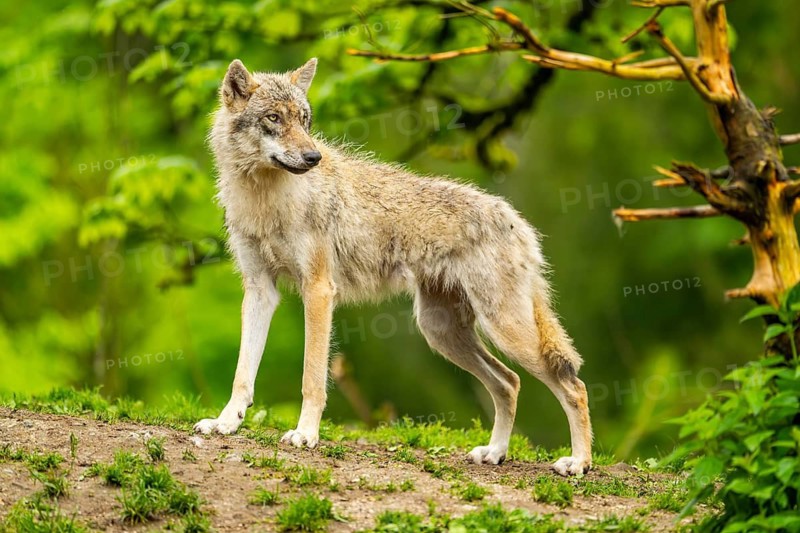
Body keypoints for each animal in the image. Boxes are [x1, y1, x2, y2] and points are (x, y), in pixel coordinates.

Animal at [193, 58, 593, 476]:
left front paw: (305, 435)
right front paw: (225, 423)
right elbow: (242, 373)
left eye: (304, 120)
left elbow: (312, 379)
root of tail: (517, 220)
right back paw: (495, 452)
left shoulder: (317, 290)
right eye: (274, 118)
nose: (313, 158)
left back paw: (579, 463)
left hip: (502, 330)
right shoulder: (260, 291)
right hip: (442, 332)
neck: (265, 197)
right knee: (509, 382)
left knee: (573, 386)